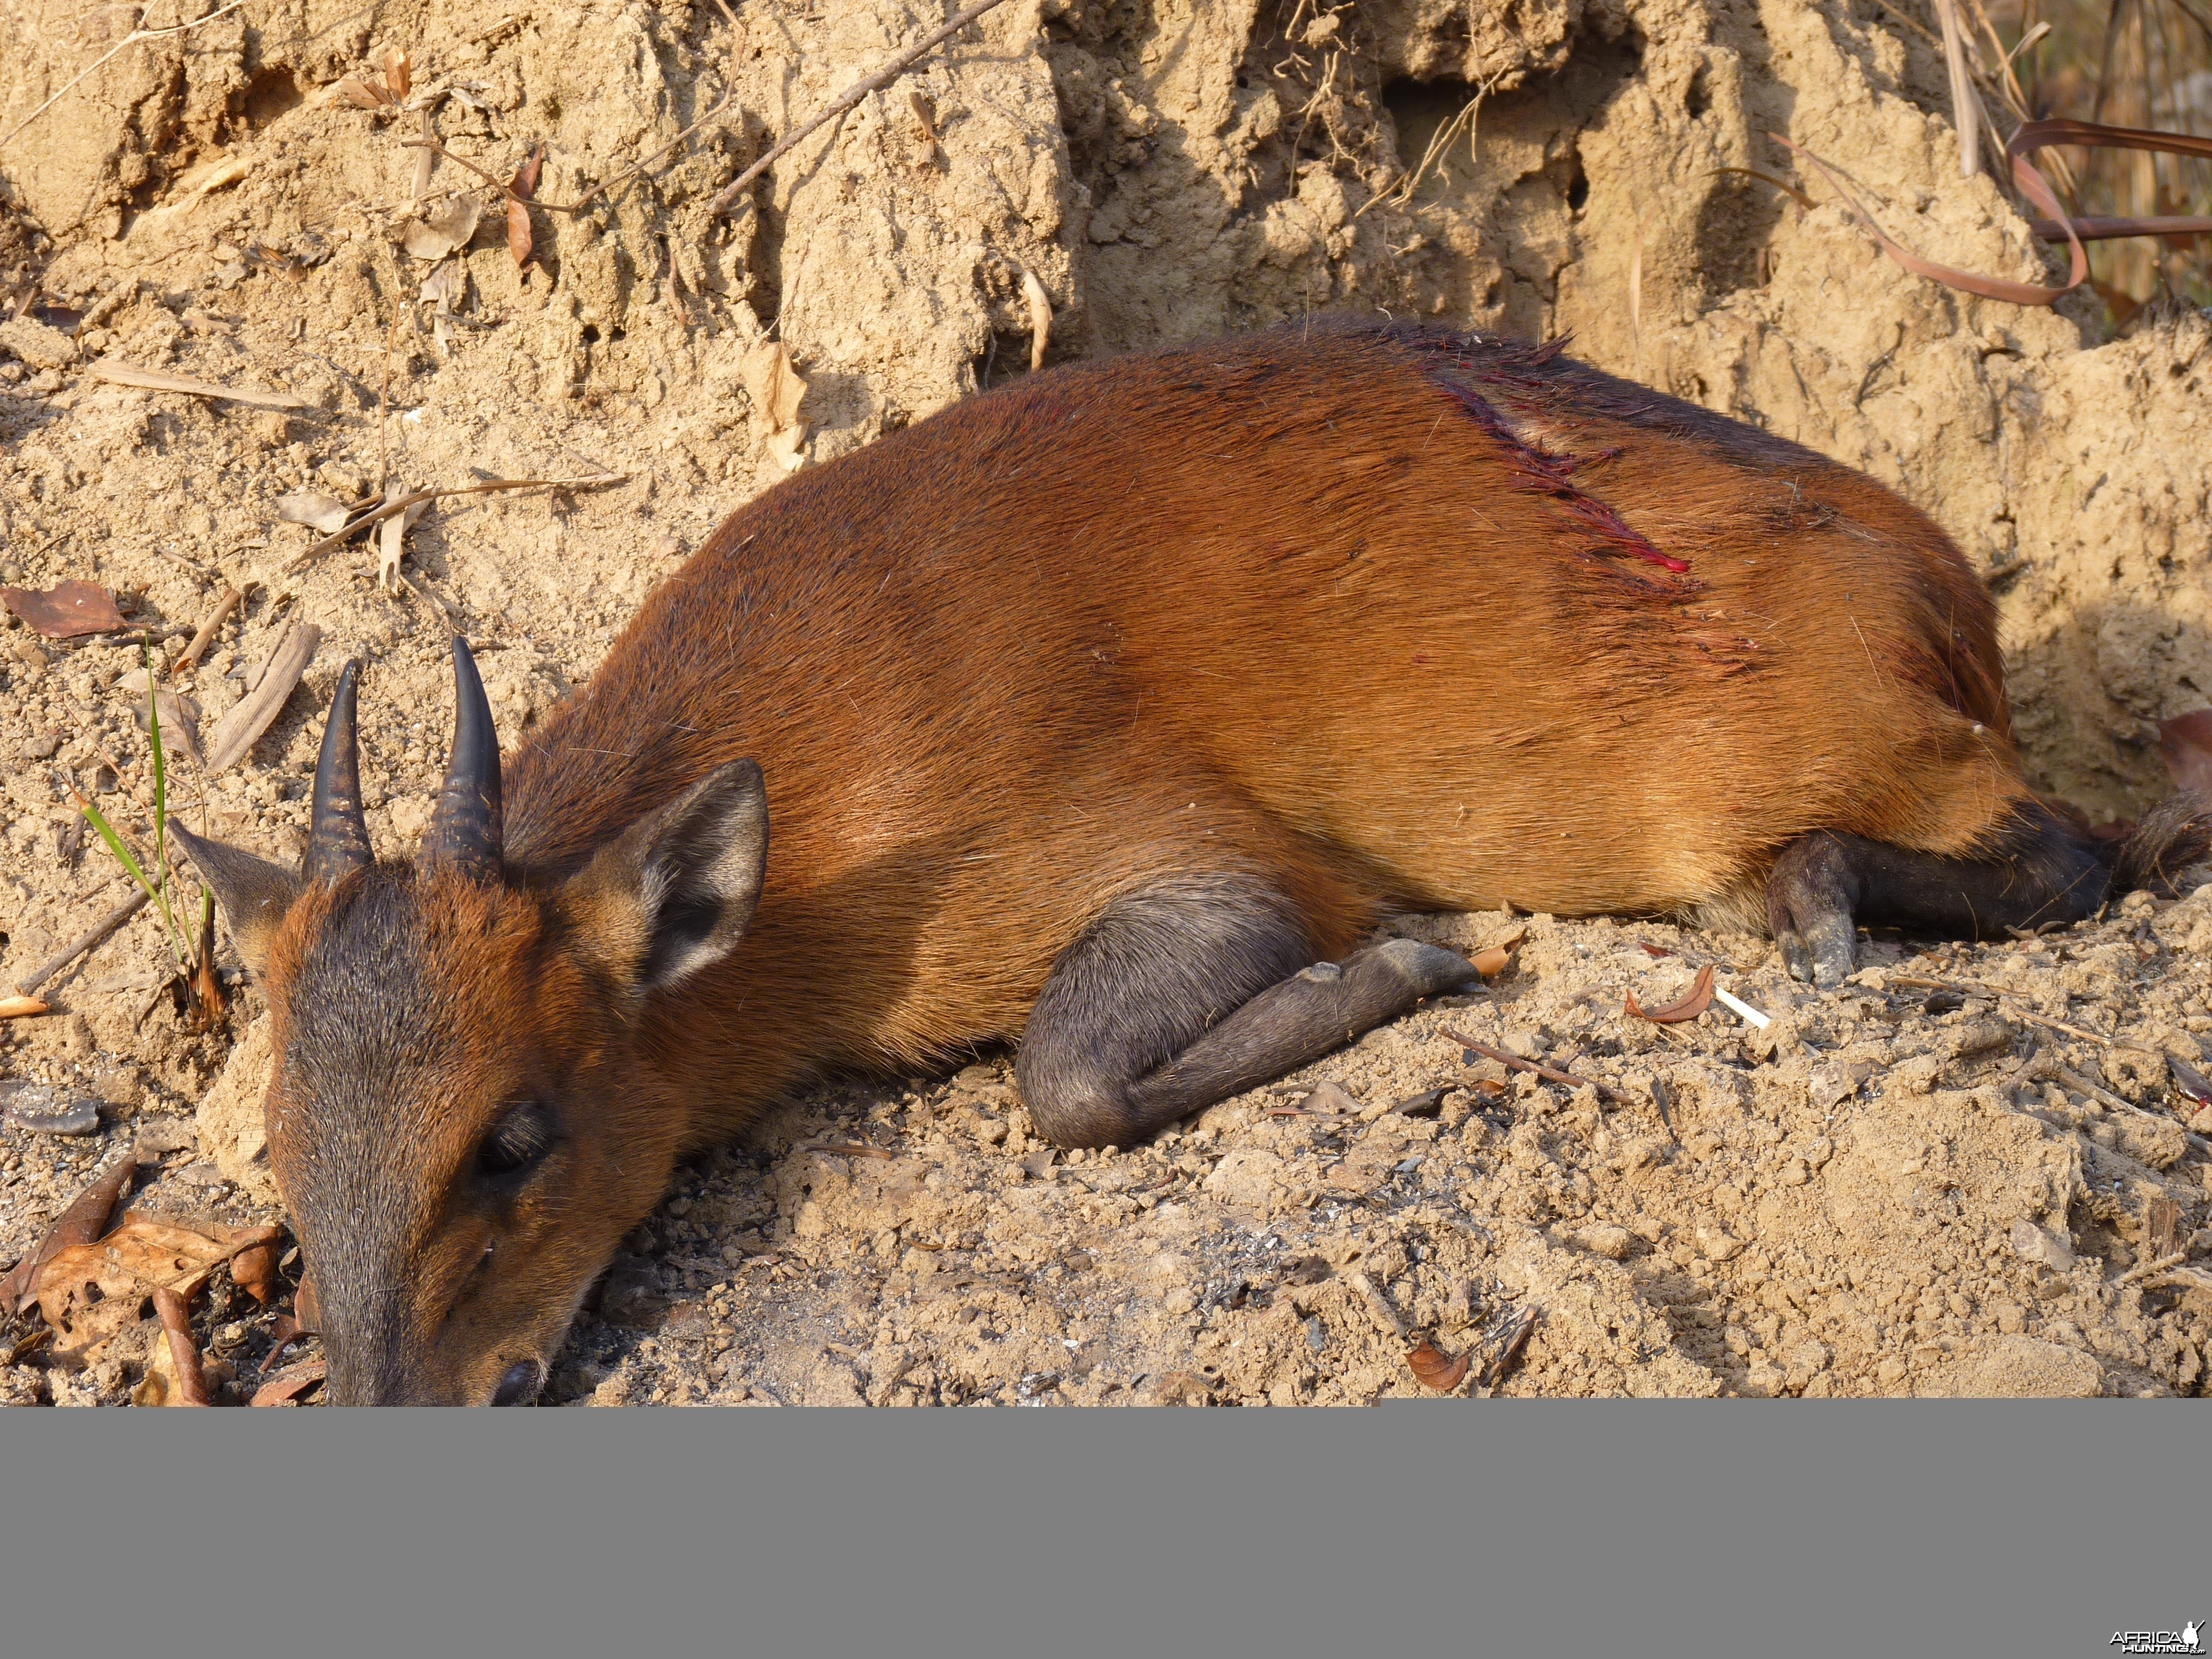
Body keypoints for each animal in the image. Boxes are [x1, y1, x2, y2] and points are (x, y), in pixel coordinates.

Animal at [177, 321, 2212, 1407]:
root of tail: (1952, 595)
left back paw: (1814, 897)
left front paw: (1410, 968)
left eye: (514, 1138)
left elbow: (1072, 1077)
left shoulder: (1194, 859)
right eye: (275, 1147)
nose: (384, 1404)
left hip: (1834, 769)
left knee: (2076, 856)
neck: (827, 787)